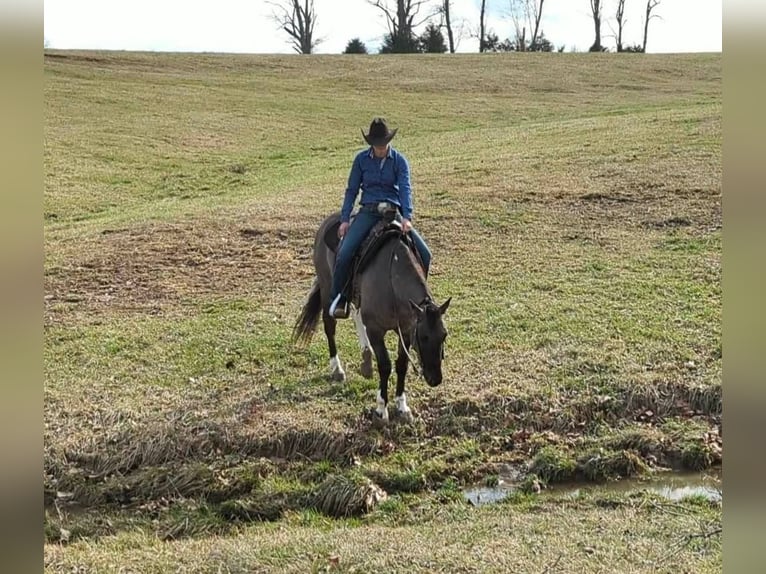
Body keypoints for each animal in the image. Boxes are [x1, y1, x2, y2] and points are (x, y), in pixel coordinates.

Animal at [292, 209, 450, 426]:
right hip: (327, 288)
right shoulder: (376, 330)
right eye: (424, 337)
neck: (391, 277)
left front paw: (402, 407)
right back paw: (337, 369)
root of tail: (328, 222)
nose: (435, 379)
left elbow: (402, 365)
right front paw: (381, 410)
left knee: (356, 315)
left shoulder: (406, 330)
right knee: (330, 326)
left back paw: (366, 358)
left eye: (444, 335)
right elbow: (385, 365)